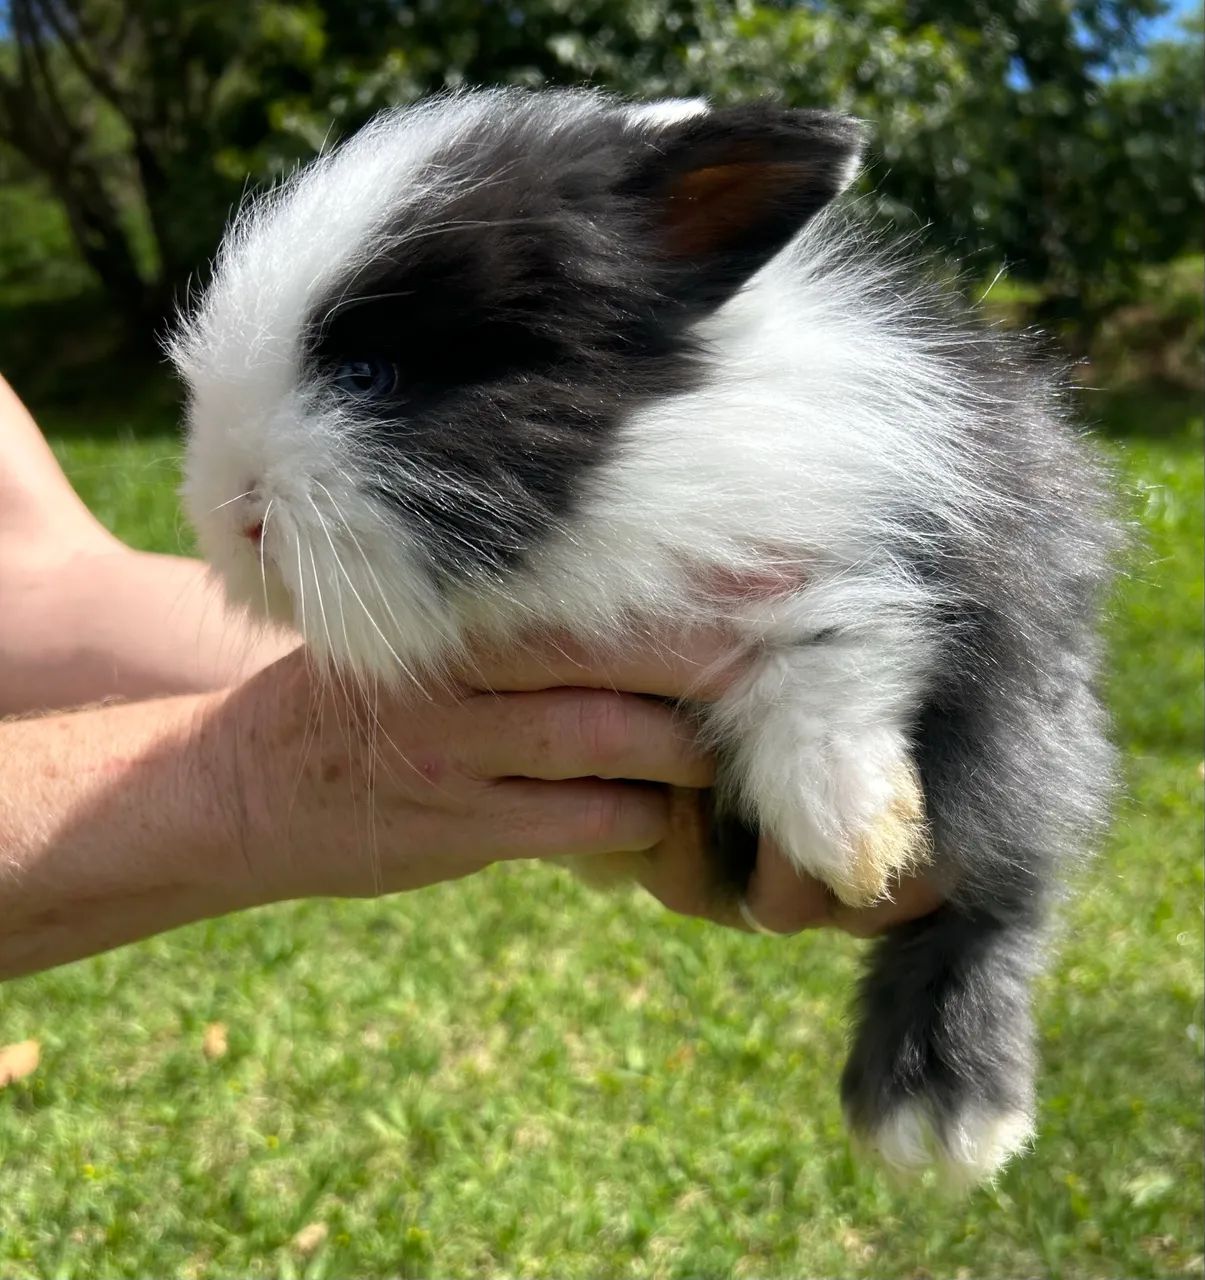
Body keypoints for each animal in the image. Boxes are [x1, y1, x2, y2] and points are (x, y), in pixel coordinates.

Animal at [172, 87, 1117, 1187]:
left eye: (373, 377)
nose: (232, 512)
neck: (633, 464)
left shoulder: (872, 557)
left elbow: (827, 659)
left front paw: (848, 837)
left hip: (1025, 750)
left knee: (994, 901)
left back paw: (945, 1110)